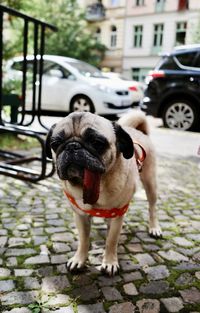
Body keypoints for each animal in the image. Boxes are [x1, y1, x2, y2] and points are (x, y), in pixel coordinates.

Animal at [46, 110, 162, 276]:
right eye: (55, 144)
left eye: (97, 143)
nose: (72, 146)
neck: (95, 185)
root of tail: (140, 131)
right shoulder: (80, 215)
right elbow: (84, 240)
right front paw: (79, 259)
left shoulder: (117, 214)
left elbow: (111, 241)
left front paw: (109, 262)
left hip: (150, 183)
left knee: (152, 207)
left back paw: (154, 228)